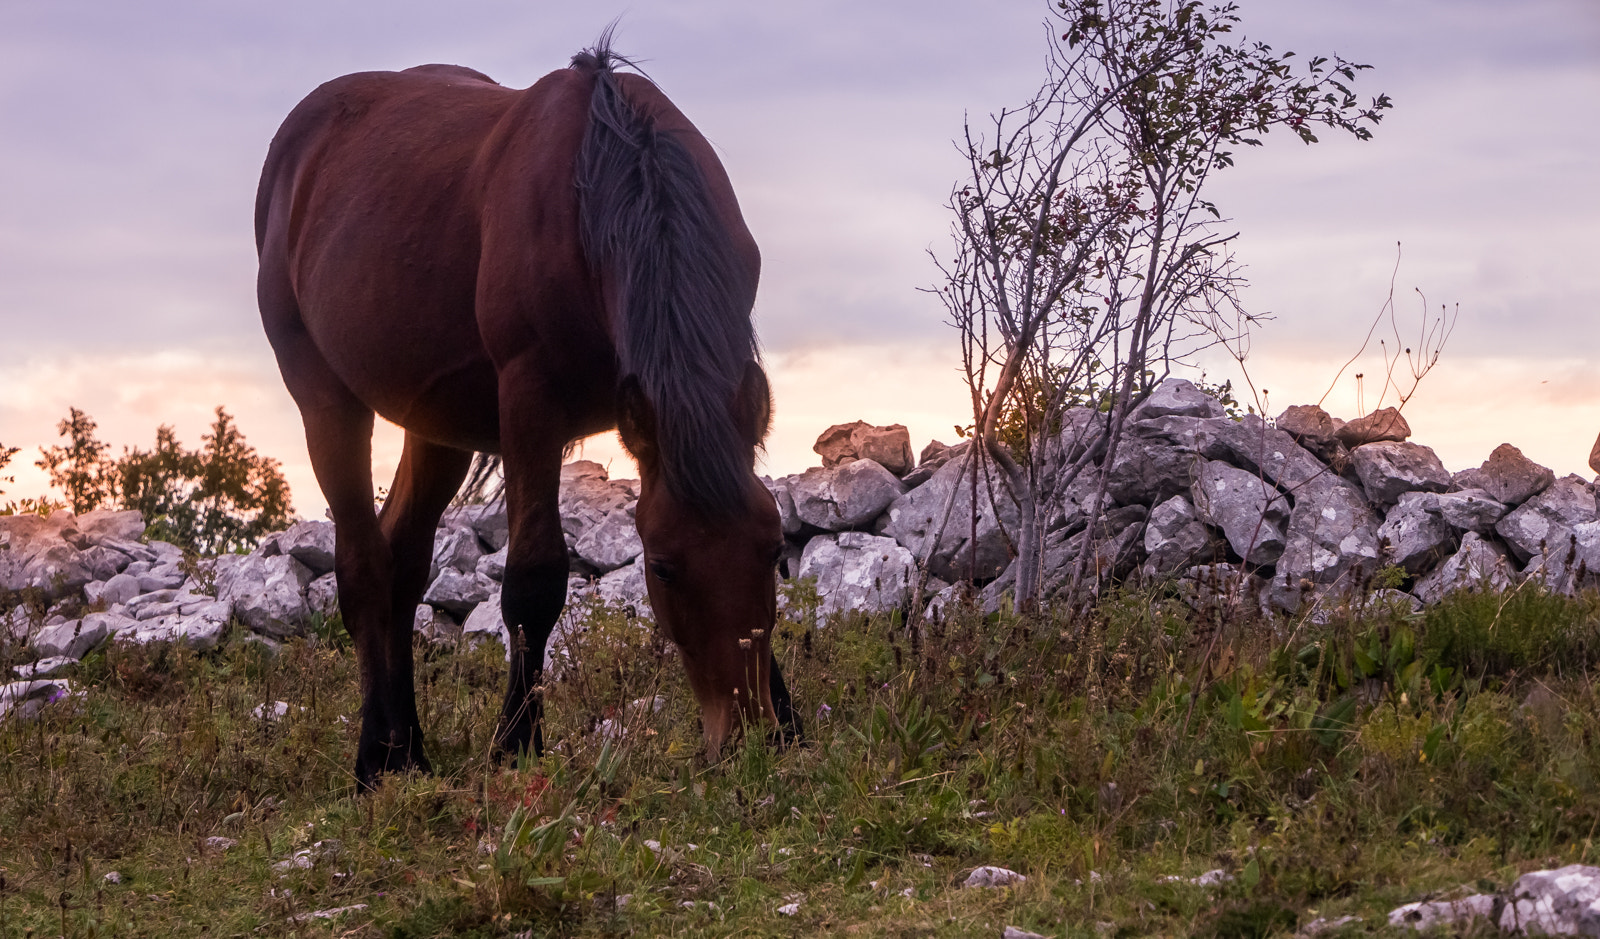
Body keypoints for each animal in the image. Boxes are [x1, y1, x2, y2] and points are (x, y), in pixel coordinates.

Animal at [254, 41, 800, 789]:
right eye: (661, 567)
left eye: (773, 549)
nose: (745, 736)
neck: (604, 188)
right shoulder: (530, 406)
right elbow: (534, 580)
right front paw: (516, 741)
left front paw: (791, 722)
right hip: (326, 398)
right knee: (364, 566)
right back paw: (375, 756)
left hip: (436, 425)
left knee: (402, 563)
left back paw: (410, 748)